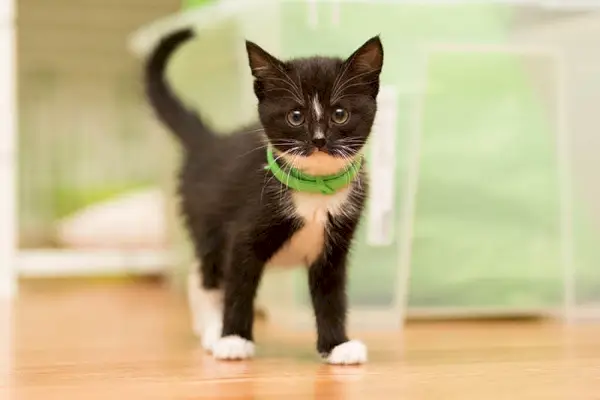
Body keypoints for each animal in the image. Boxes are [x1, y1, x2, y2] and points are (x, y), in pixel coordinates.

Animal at [143, 28, 382, 366]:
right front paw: (233, 339)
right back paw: (212, 329)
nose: (319, 140)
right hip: (207, 224)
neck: (314, 189)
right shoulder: (242, 236)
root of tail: (211, 142)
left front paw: (337, 345)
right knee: (205, 275)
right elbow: (239, 288)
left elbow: (331, 295)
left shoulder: (335, 245)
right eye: (295, 116)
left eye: (340, 114)